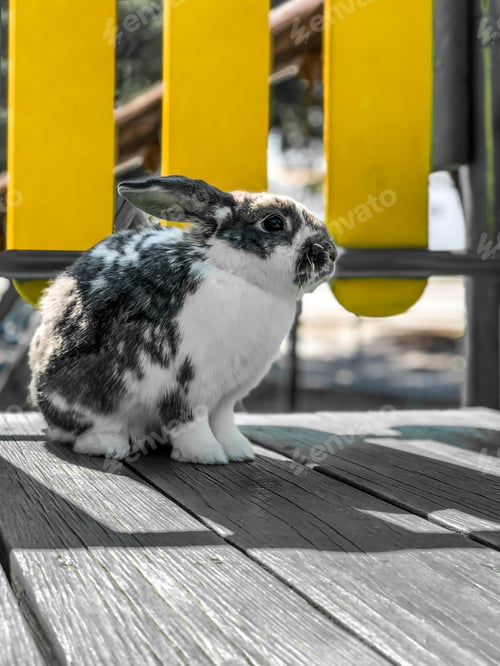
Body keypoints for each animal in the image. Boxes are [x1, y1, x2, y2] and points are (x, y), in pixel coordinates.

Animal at [29, 176, 337, 464]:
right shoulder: (187, 384)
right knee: (92, 431)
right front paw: (207, 455)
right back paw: (112, 446)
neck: (234, 272)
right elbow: (190, 422)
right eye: (274, 222)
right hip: (100, 394)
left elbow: (224, 422)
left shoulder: (228, 395)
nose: (330, 252)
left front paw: (238, 452)